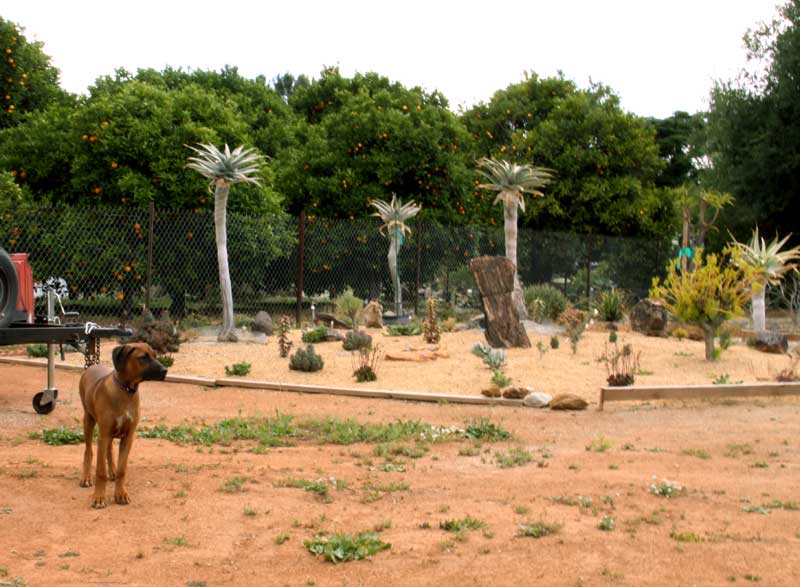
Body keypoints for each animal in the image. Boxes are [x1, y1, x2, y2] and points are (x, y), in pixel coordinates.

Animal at [79, 342, 167, 508]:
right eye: (143, 357)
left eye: (155, 355)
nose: (165, 370)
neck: (126, 390)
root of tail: (92, 365)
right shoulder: (103, 434)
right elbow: (100, 471)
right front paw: (99, 497)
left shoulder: (128, 437)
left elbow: (122, 470)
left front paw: (121, 494)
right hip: (89, 420)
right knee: (89, 451)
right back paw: (85, 477)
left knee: (109, 450)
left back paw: (112, 471)